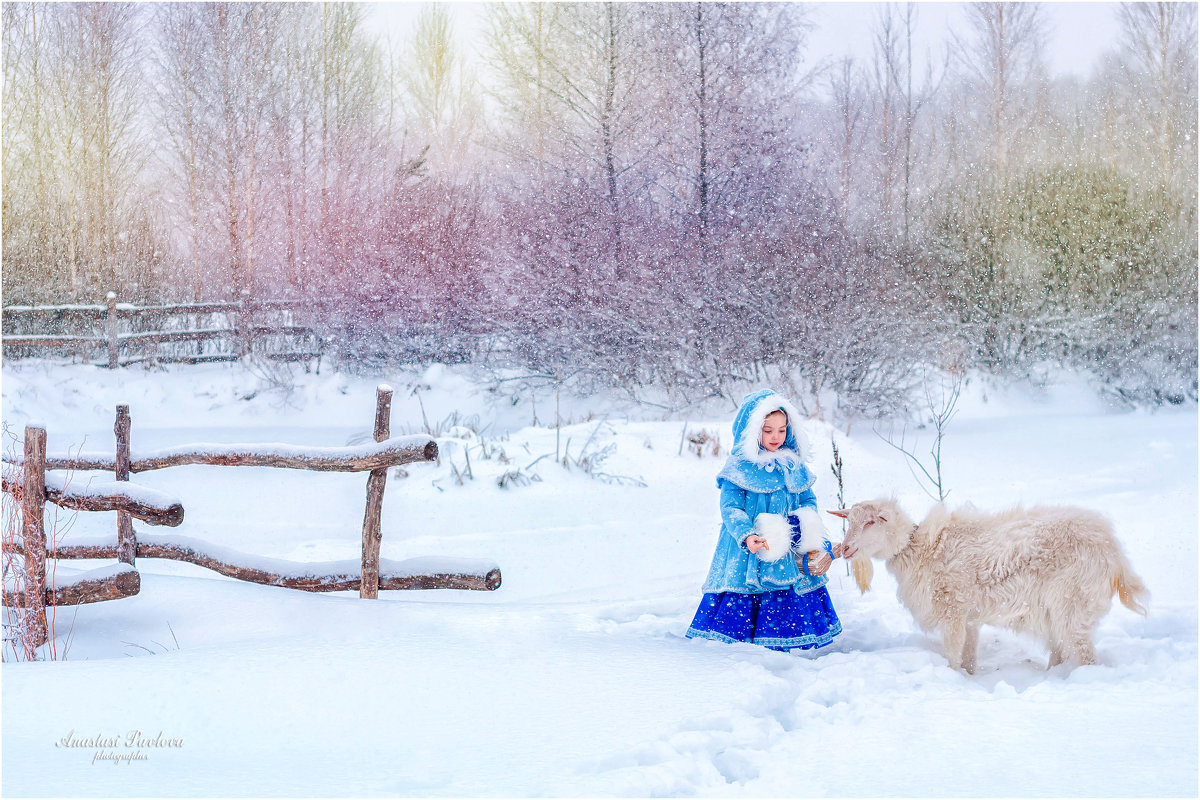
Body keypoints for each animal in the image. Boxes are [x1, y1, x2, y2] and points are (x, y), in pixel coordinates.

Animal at [830, 503, 1147, 671]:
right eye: (849, 521)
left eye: (871, 522)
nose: (844, 548)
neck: (919, 550)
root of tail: (1115, 555)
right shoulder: (969, 618)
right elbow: (968, 655)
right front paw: (969, 678)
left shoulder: (953, 611)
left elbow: (953, 654)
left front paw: (953, 678)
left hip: (1073, 605)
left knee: (1085, 655)